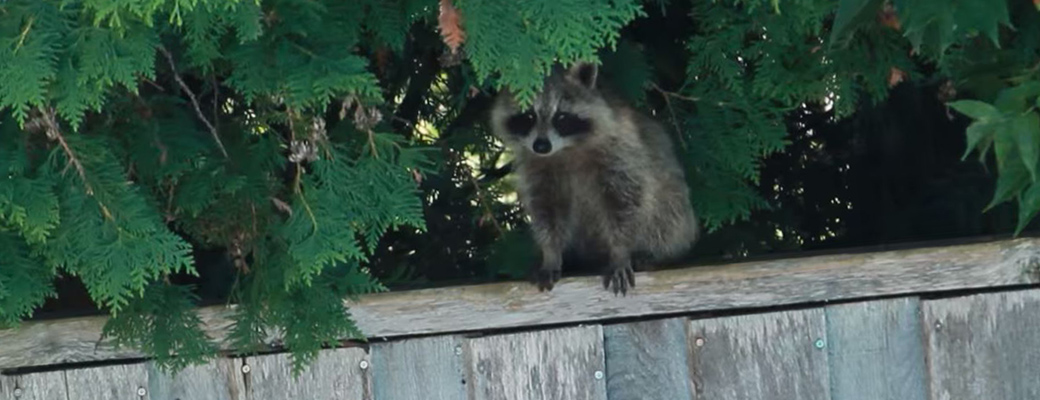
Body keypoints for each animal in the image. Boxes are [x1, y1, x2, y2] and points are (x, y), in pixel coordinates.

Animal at [489, 62, 699, 295]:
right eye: (528, 117)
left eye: (561, 117)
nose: (541, 146)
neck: (565, 150)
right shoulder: (537, 169)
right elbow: (547, 211)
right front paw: (551, 254)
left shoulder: (621, 153)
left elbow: (625, 203)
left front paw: (620, 251)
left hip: (674, 212)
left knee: (666, 216)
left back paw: (652, 254)